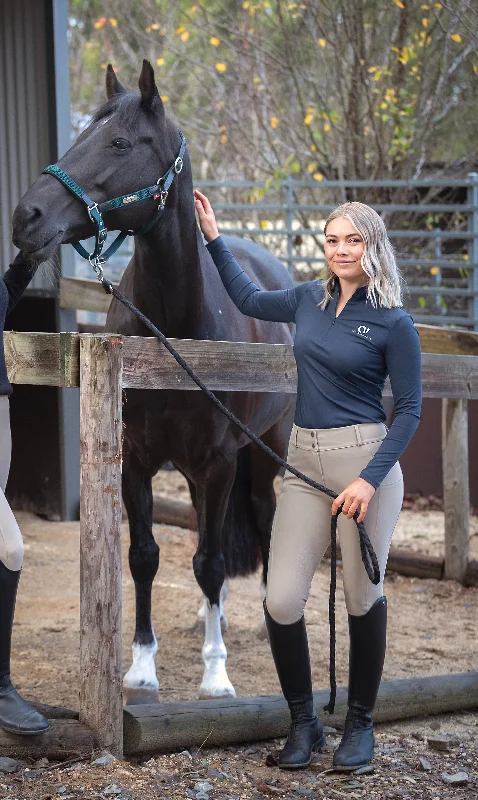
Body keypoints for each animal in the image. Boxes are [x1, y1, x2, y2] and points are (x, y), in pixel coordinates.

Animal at [12, 61, 296, 700]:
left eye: (120, 142)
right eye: (80, 136)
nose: (26, 218)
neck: (176, 333)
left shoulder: (220, 462)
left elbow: (211, 562)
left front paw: (216, 676)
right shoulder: (138, 460)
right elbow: (145, 556)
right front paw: (142, 666)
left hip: (264, 454)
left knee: (265, 525)